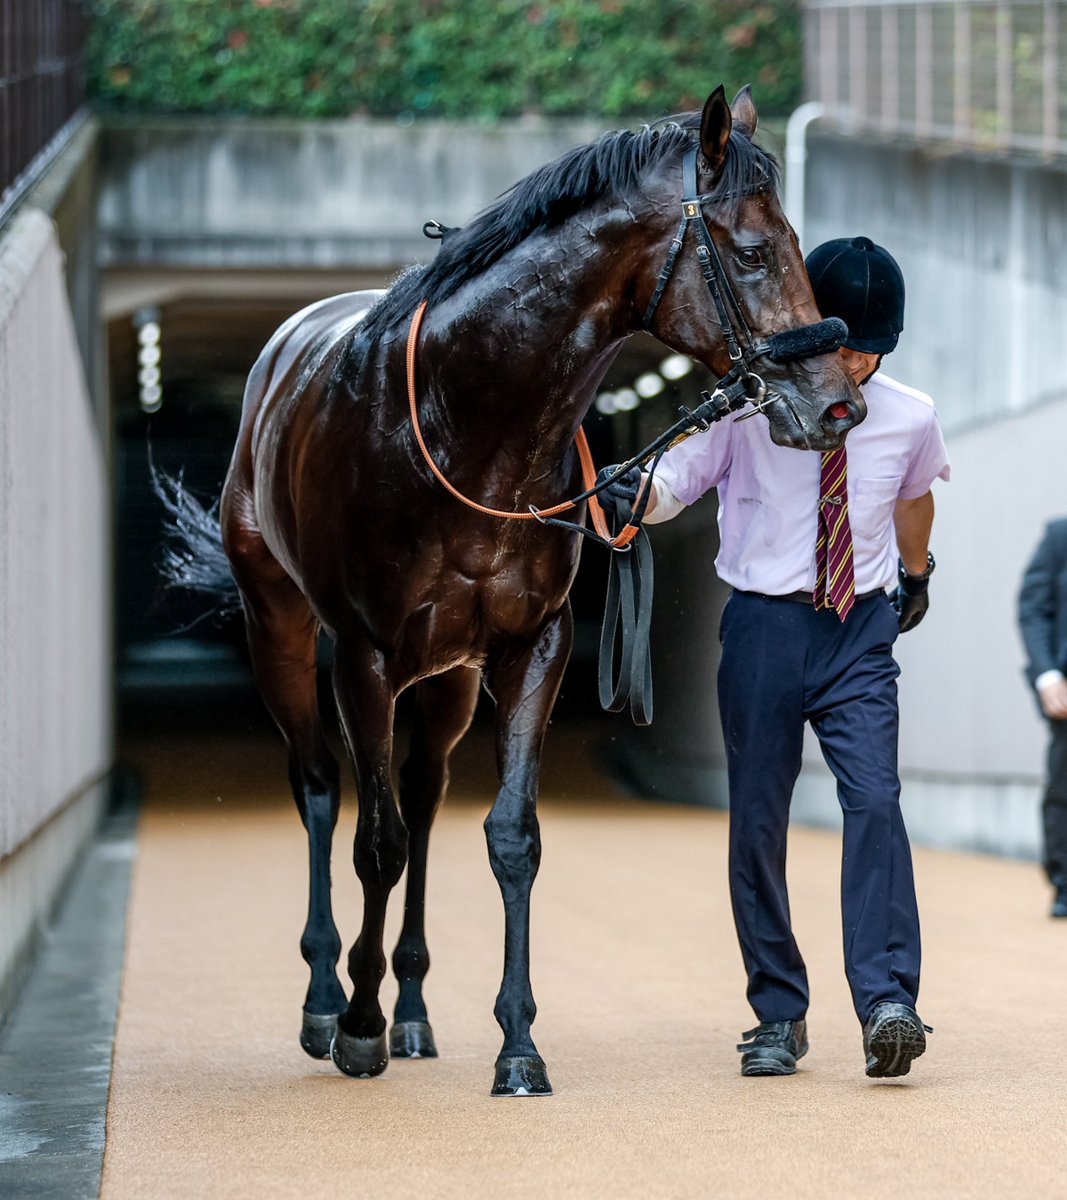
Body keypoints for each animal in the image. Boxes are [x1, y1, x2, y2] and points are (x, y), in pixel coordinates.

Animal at [161, 84, 863, 1096]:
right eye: (754, 251)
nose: (835, 404)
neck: (470, 425)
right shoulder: (366, 656)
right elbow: (372, 841)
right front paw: (359, 1025)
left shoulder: (532, 645)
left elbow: (508, 837)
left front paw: (517, 1045)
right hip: (283, 634)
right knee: (323, 789)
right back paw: (328, 1001)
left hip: (448, 676)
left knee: (420, 797)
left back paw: (414, 1009)